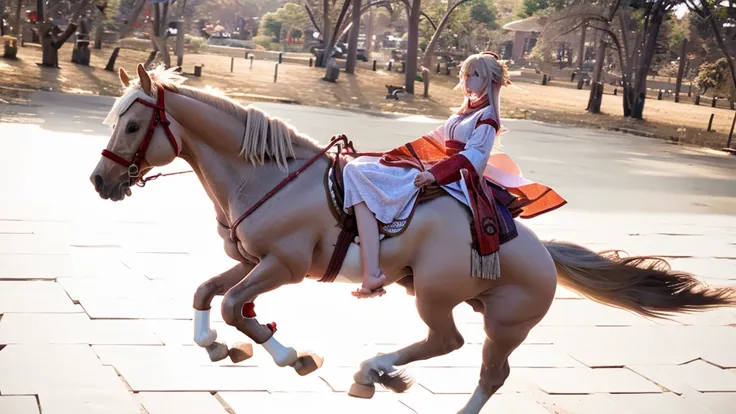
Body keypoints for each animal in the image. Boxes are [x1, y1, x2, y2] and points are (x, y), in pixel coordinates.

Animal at [87, 63, 736, 412]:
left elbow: (231, 305)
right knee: (458, 353)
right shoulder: (252, 260)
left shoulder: (285, 265)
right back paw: (379, 372)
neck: (267, 177)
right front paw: (221, 346)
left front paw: (291, 355)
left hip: (460, 303)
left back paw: (378, 370)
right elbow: (207, 293)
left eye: (135, 124)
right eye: (115, 118)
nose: (99, 180)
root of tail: (541, 250)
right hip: (466, 303)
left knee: (467, 356)